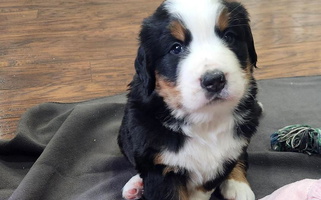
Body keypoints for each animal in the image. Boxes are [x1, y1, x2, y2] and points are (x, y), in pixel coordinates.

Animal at [116, 0, 262, 199]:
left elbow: (206, 185)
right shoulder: (160, 169)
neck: (206, 121)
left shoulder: (222, 160)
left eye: (229, 37)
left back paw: (238, 186)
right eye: (176, 48)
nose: (214, 80)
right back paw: (135, 185)